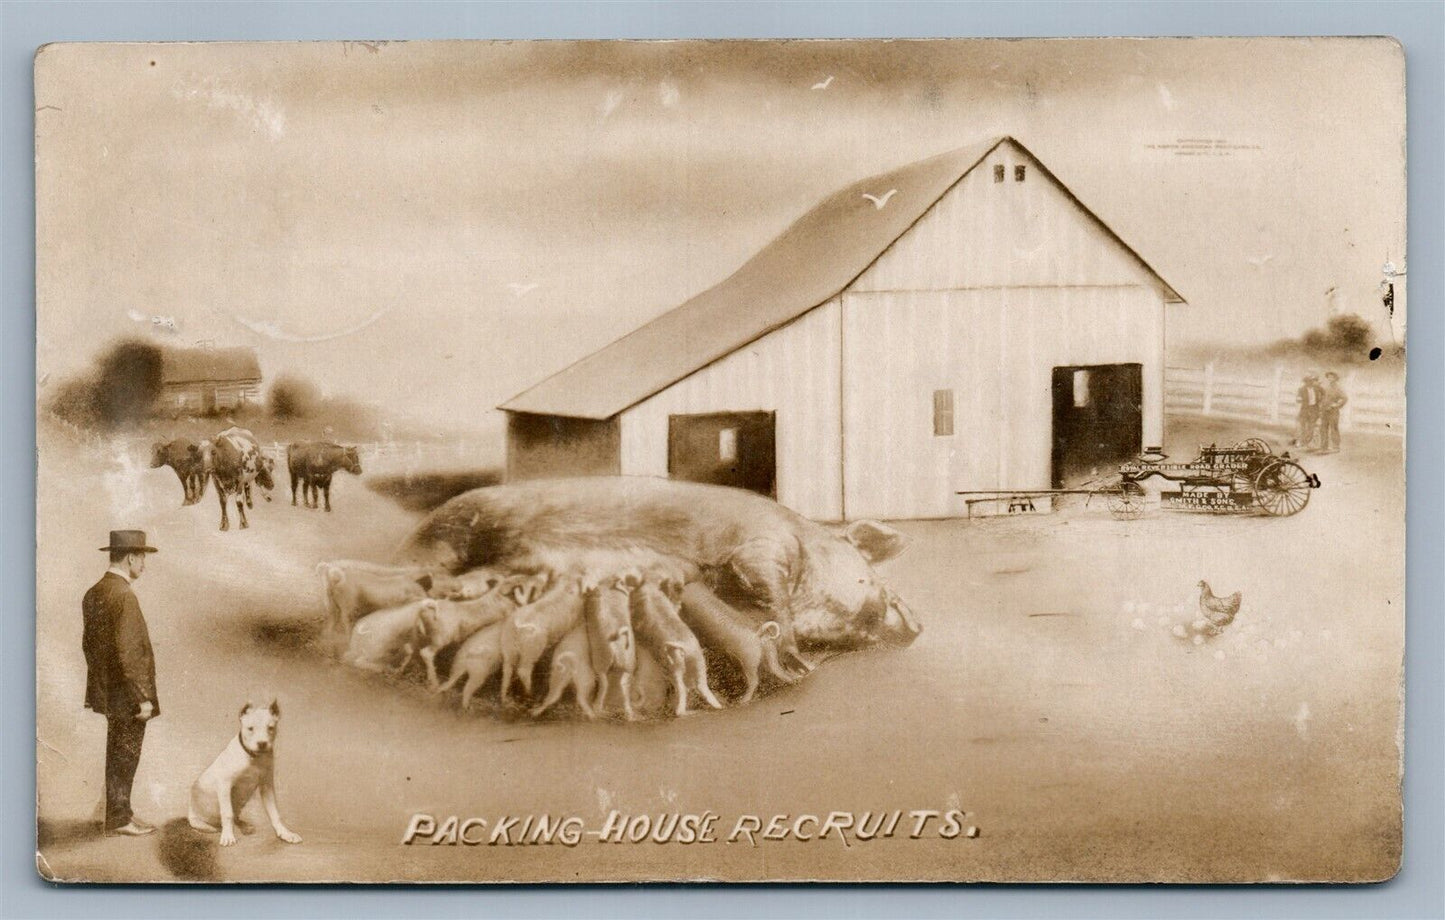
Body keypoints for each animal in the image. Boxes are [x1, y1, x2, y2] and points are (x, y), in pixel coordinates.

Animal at [189, 696, 302, 849]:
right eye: (250, 729)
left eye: (270, 728)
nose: (262, 743)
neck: (253, 757)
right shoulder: (224, 784)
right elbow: (227, 813)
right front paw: (228, 836)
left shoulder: (267, 786)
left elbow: (274, 812)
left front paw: (285, 833)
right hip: (195, 817)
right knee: (207, 822)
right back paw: (212, 828)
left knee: (236, 817)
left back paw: (244, 826)